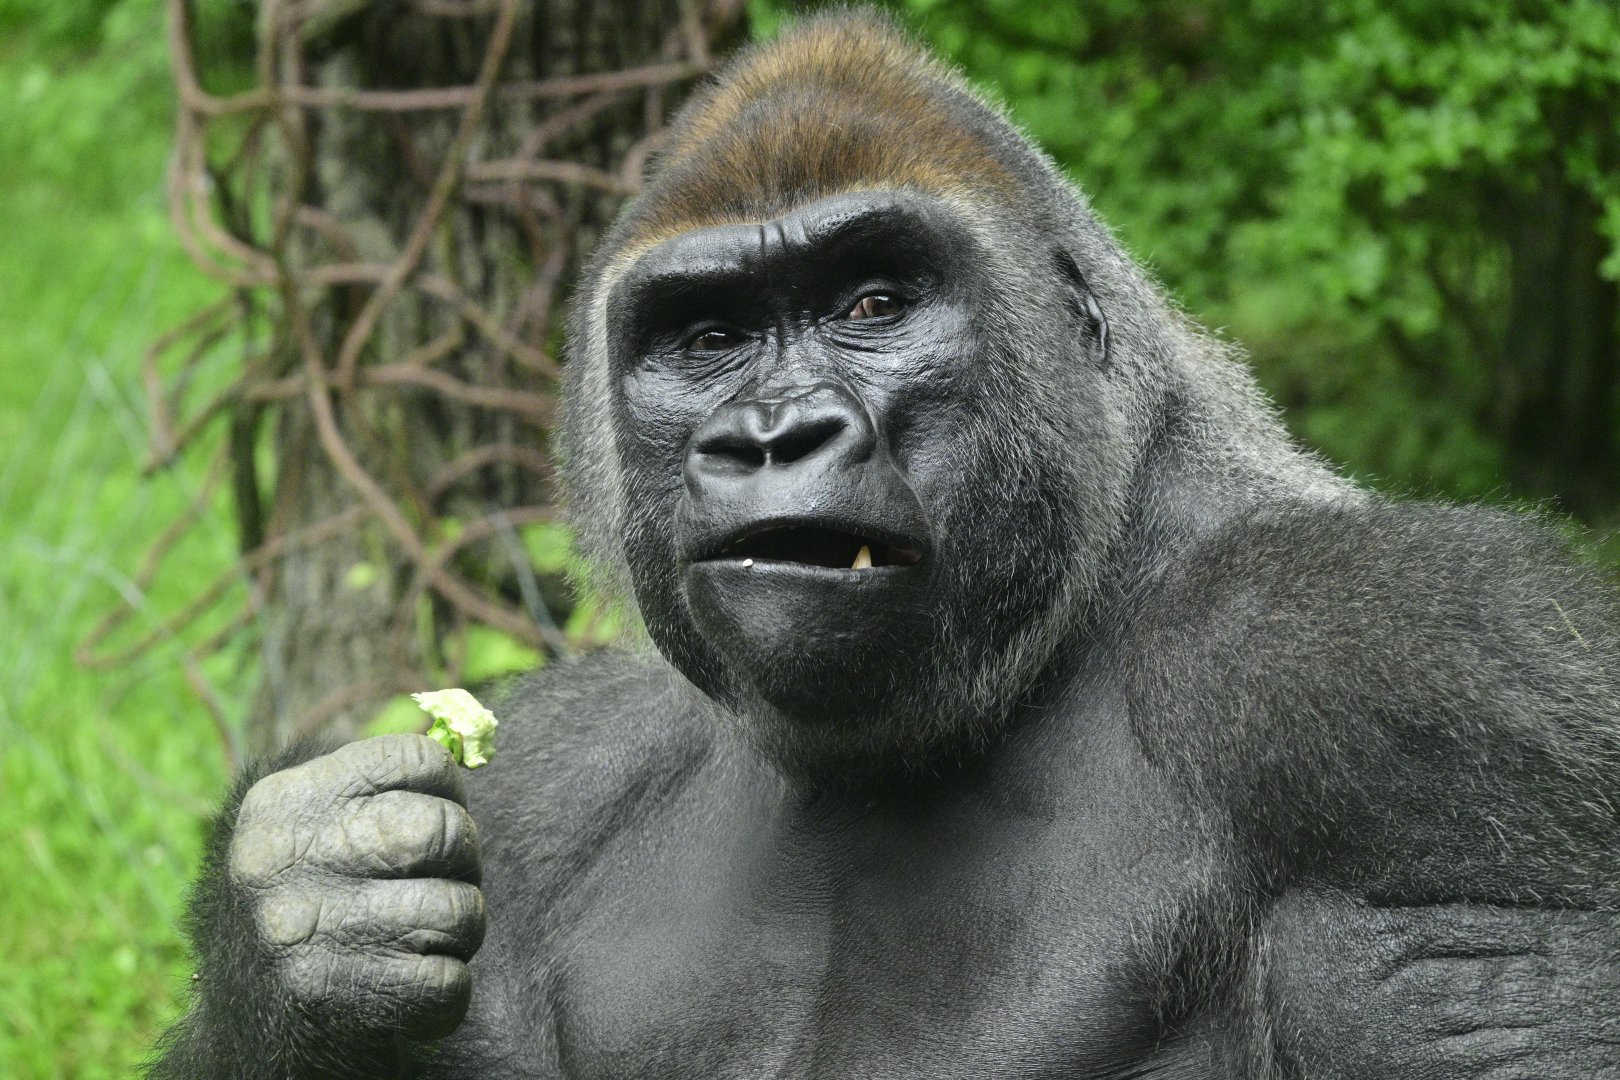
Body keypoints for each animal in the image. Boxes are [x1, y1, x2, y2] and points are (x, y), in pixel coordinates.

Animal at [148, 10, 1620, 1078]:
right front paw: (294, 927)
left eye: (873, 303)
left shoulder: (1398, 666)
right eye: (709, 338)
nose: (772, 436)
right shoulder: (546, 789)